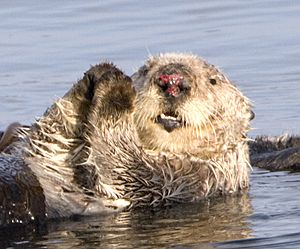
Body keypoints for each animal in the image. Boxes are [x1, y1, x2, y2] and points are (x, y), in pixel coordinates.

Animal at [0, 53, 253, 228]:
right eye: (145, 69)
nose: (172, 81)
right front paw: (100, 73)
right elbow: (51, 129)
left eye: (213, 81)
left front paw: (117, 91)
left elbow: (121, 165)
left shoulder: (181, 180)